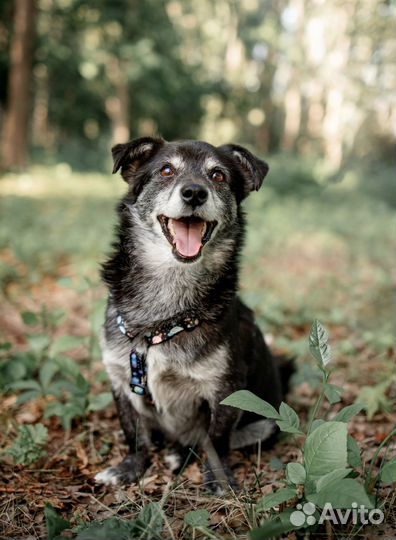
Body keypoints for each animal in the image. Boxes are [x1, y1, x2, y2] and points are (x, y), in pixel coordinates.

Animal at [94, 137, 290, 492]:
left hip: (266, 424)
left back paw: (179, 455)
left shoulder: (226, 388)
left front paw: (219, 480)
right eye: (166, 170)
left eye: (218, 175)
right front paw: (129, 469)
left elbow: (215, 439)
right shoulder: (121, 380)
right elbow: (134, 435)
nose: (195, 193)